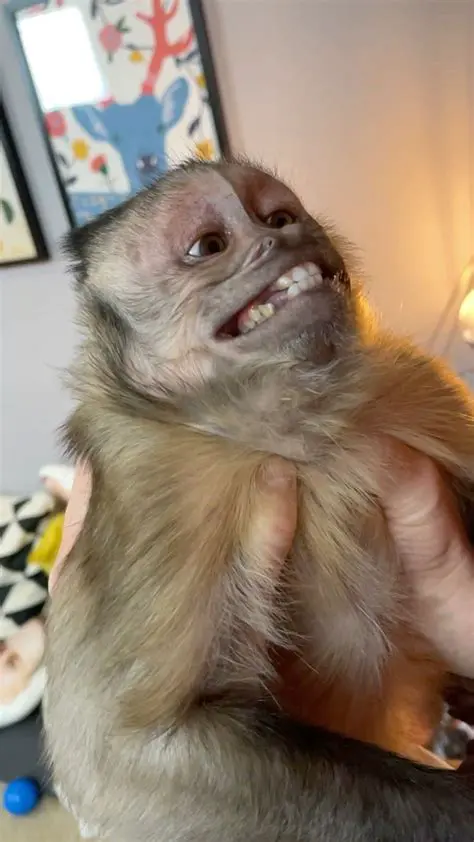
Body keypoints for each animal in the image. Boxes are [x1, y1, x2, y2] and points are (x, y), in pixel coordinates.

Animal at [44, 158, 474, 842]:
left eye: (278, 215)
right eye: (208, 247)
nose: (287, 234)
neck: (294, 431)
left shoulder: (417, 385)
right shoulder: (157, 486)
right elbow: (123, 758)